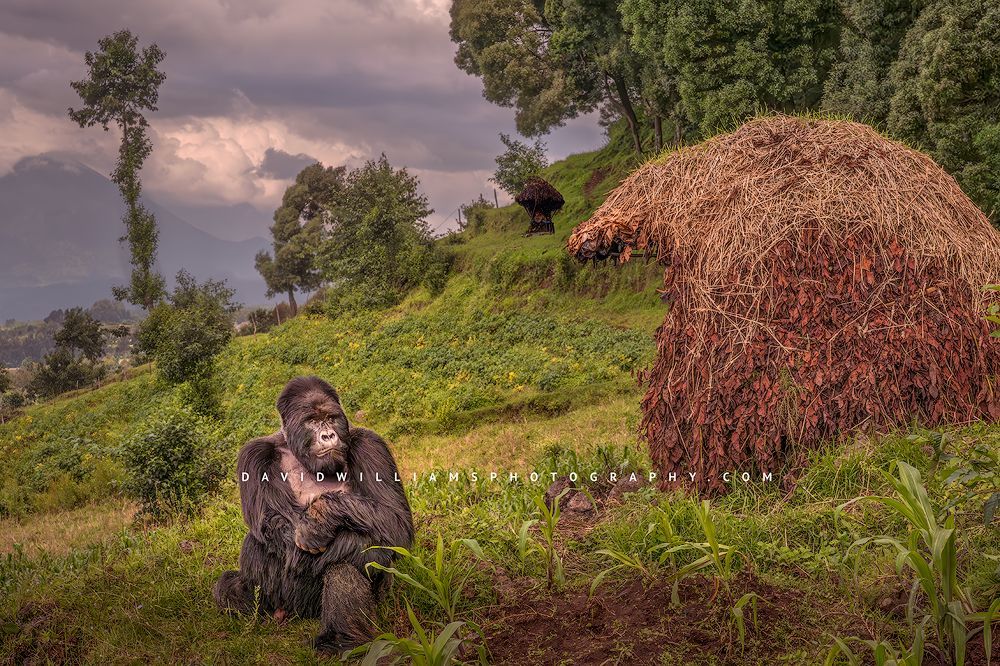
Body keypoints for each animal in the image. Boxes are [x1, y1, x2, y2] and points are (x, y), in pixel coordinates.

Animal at [213, 376, 414, 651]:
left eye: (330, 418)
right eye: (312, 421)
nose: (328, 434)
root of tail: (295, 614)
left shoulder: (370, 445)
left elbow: (394, 520)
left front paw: (321, 519)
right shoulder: (254, 455)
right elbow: (273, 523)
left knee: (344, 565)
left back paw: (339, 641)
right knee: (234, 578)